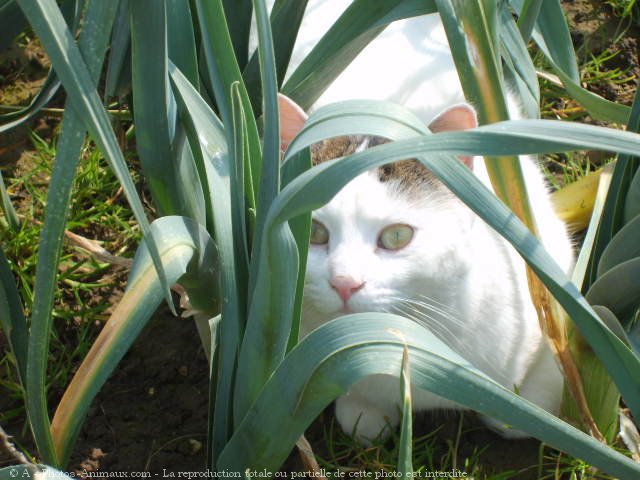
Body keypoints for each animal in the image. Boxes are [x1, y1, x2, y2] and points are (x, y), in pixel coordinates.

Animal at [260, 0, 576, 442]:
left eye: (396, 236)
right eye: (316, 232)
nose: (345, 283)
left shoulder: (549, 271)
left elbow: (527, 401)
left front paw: (532, 410)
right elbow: (359, 417)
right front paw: (366, 412)